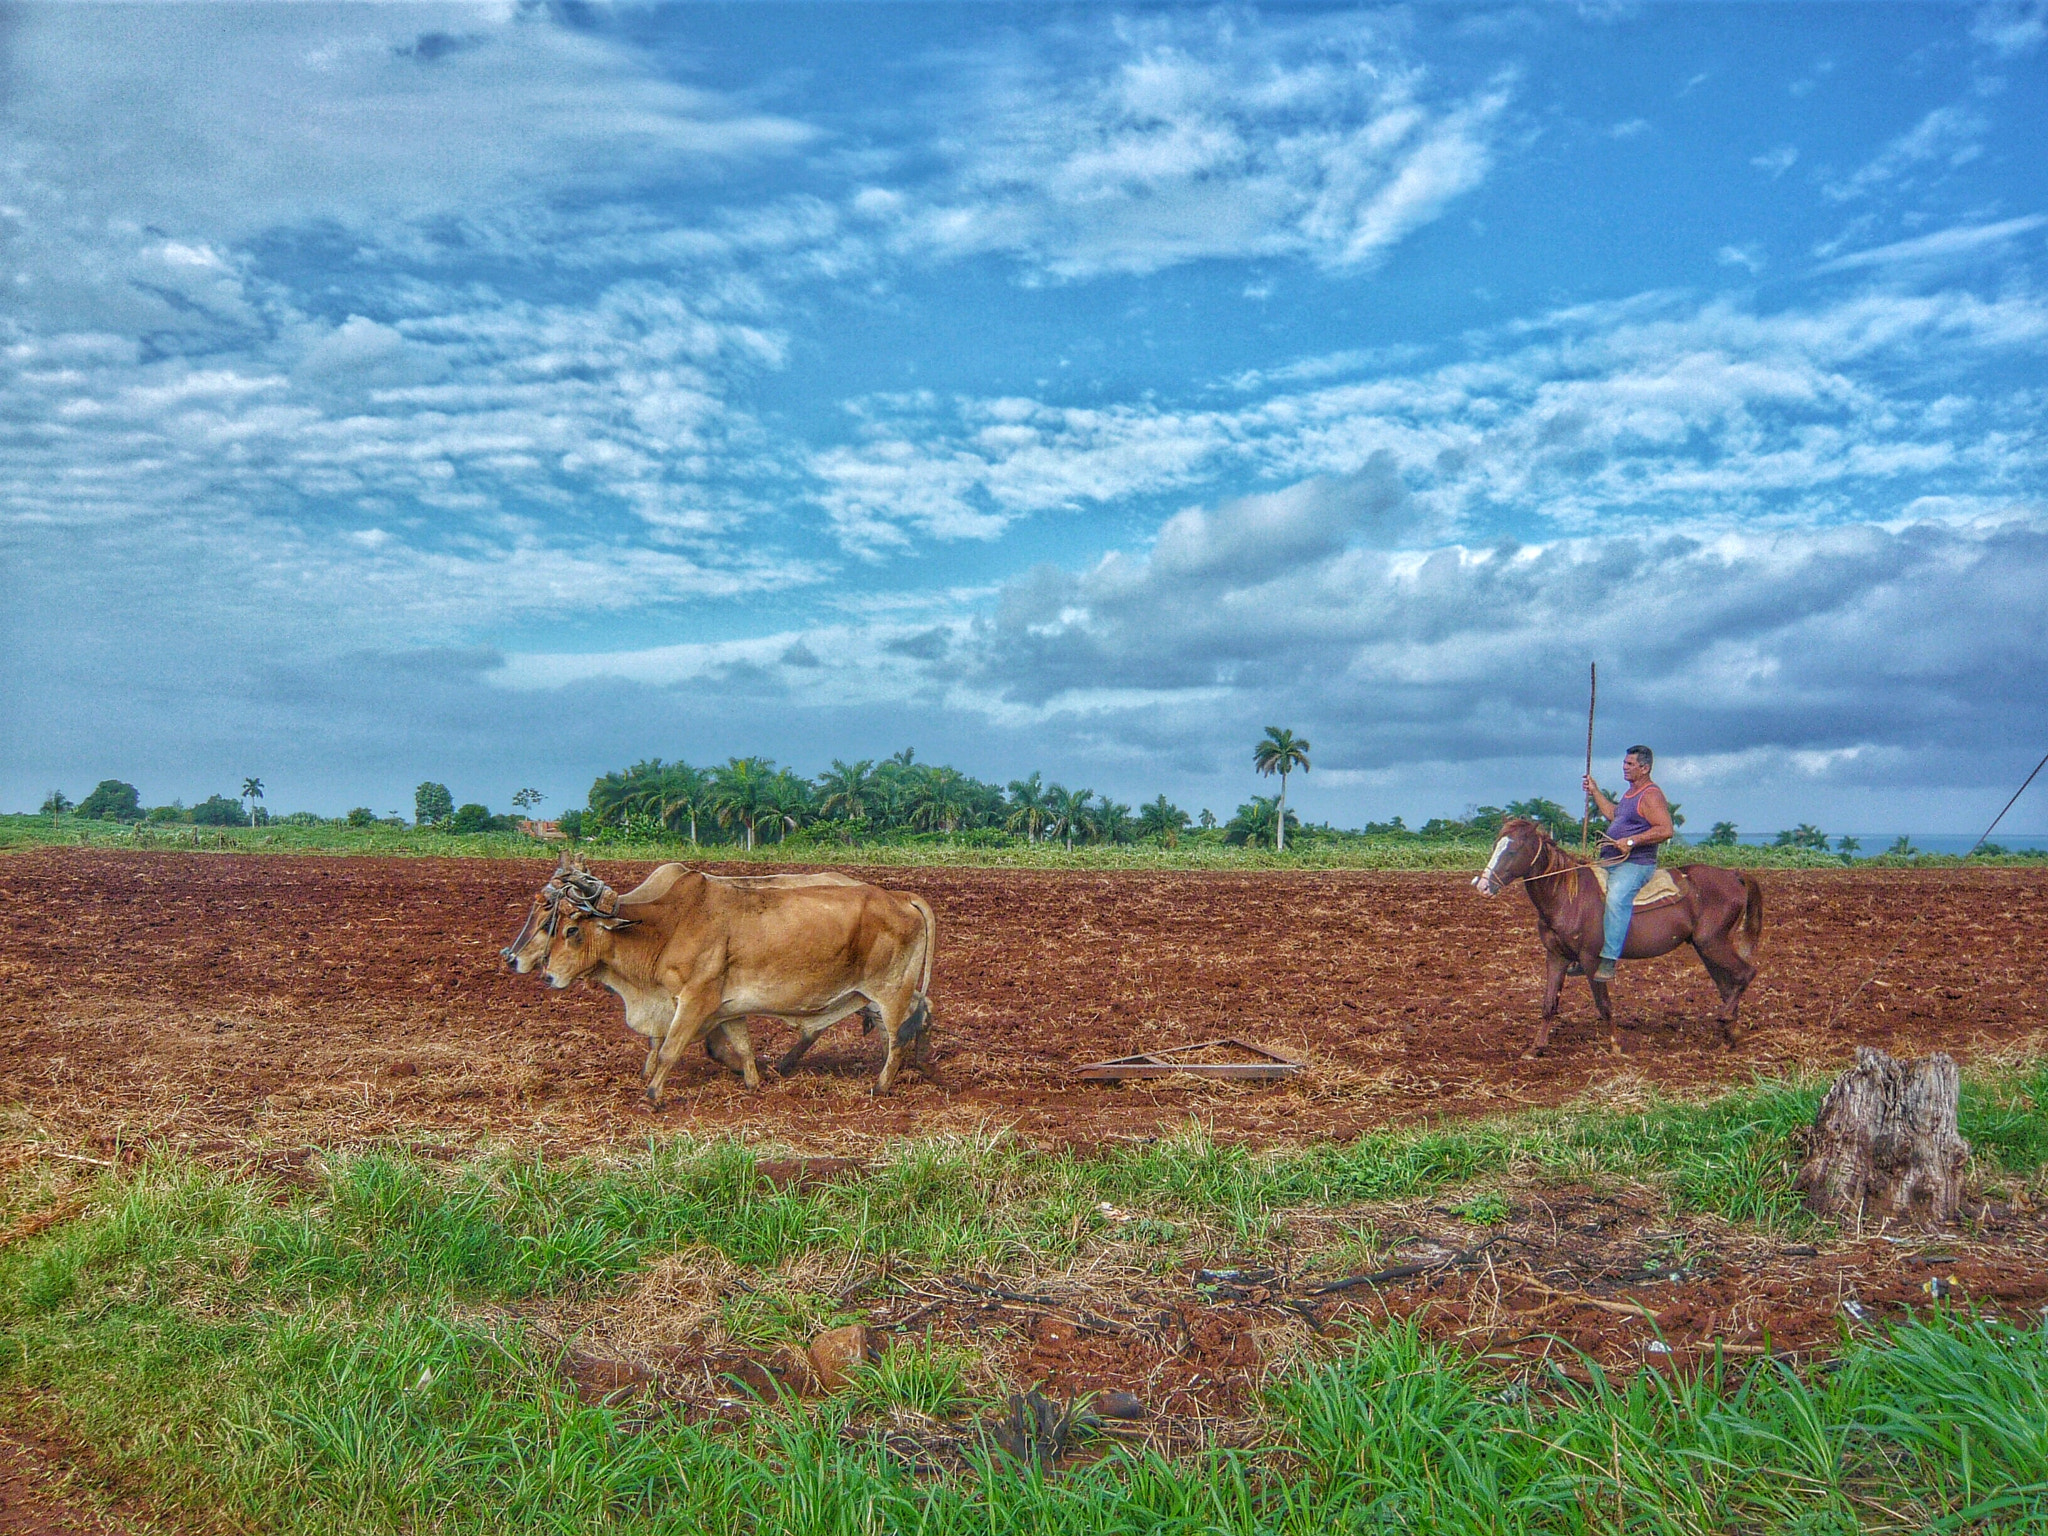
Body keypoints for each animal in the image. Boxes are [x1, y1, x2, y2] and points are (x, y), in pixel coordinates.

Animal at [1474, 823, 1761, 1064]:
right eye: (1495, 846)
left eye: (1512, 850)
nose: (1483, 886)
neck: (1568, 896)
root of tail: (1734, 875)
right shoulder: (1556, 956)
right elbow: (1549, 1004)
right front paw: (1536, 1047)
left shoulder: (1591, 959)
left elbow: (1604, 1005)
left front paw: (1615, 1045)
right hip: (1706, 948)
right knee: (1727, 985)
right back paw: (1729, 1037)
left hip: (1713, 944)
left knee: (1746, 973)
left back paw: (1726, 1021)